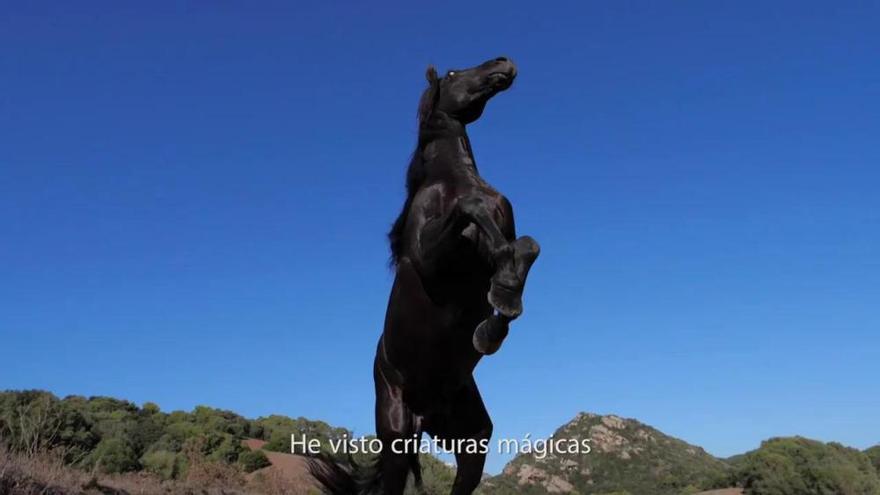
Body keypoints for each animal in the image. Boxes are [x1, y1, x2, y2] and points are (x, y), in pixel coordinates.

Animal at [312, 56, 540, 494]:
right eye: (452, 74)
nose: (503, 62)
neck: (453, 180)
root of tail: (424, 415)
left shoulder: (502, 241)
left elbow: (524, 248)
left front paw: (498, 315)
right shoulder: (430, 259)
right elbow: (472, 209)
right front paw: (501, 303)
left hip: (470, 437)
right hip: (397, 435)